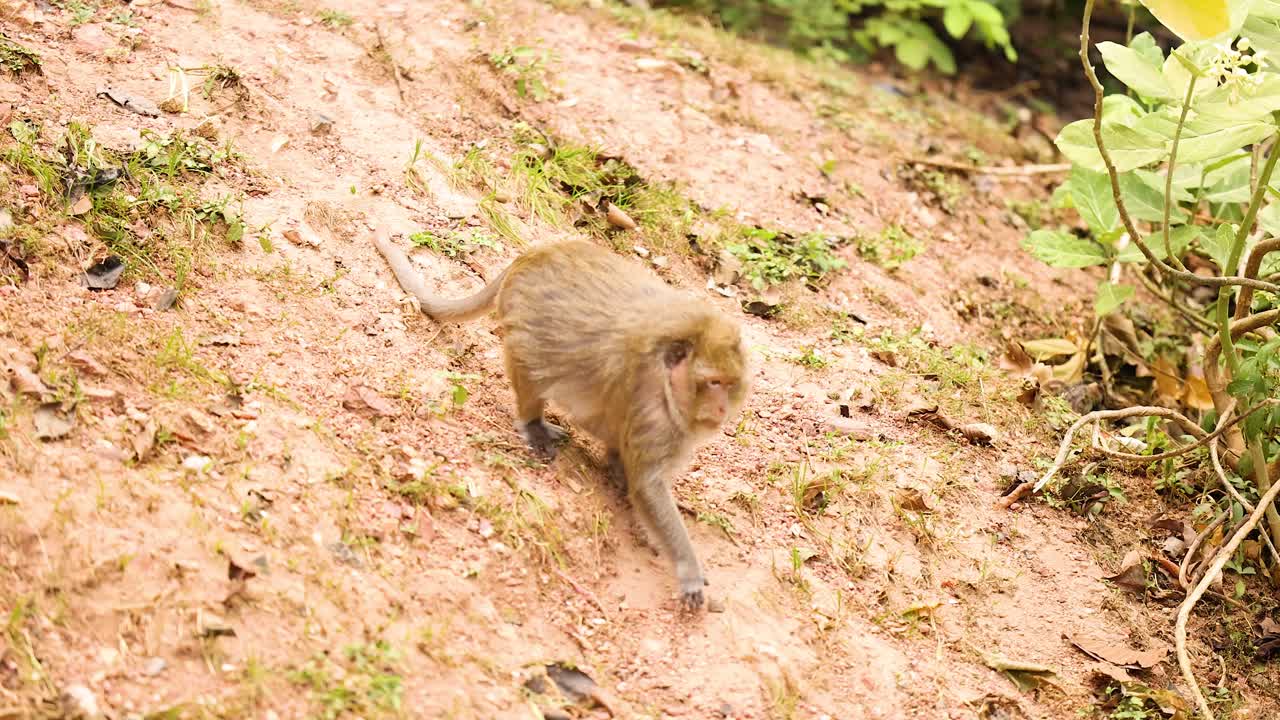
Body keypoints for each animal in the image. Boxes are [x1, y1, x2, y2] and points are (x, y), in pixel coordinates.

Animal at [372, 229, 748, 609]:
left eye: (730, 384)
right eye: (713, 383)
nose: (721, 409)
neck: (666, 372)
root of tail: (533, 255)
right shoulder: (653, 411)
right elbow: (647, 484)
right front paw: (688, 569)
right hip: (522, 315)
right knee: (531, 365)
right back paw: (533, 423)